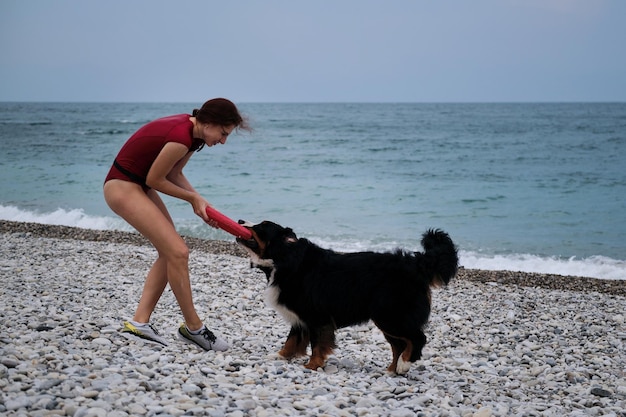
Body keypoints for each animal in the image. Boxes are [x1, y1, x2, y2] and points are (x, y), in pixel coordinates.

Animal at [236, 221, 456, 374]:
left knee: (417, 338)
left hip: (391, 315)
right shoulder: (300, 318)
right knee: (399, 345)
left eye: (262, 226)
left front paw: (312, 365)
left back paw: (404, 364)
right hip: (387, 319)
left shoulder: (317, 317)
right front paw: (279, 356)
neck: (286, 259)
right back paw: (392, 370)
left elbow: (317, 345)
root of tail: (417, 263)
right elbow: (291, 341)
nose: (239, 221)